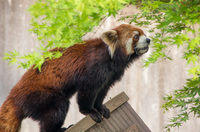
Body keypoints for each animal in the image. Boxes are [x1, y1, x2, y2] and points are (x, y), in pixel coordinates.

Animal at [0, 24, 150, 132]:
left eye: (144, 34)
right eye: (136, 36)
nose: (148, 39)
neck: (110, 56)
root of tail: (13, 96)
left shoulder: (111, 75)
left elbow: (102, 91)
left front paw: (101, 108)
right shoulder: (93, 68)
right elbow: (87, 91)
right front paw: (90, 111)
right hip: (39, 95)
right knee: (57, 108)